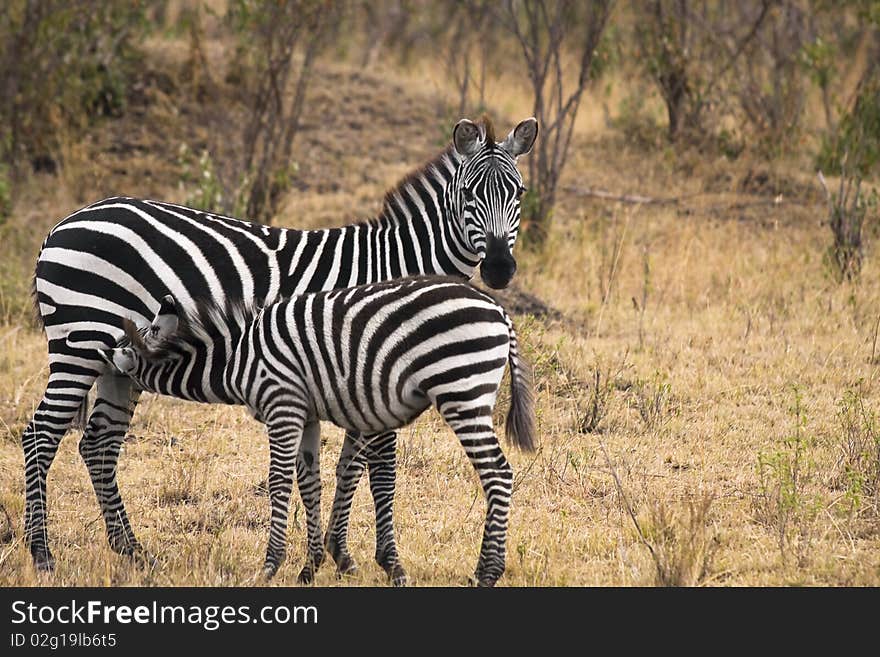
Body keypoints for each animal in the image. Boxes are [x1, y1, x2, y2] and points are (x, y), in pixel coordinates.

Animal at [99, 276, 532, 584]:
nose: (100, 353)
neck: (237, 356)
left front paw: (270, 565)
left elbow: (278, 481)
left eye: (123, 348)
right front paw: (309, 567)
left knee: (498, 474)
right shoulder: (305, 414)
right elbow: (309, 482)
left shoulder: (282, 403)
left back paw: (486, 573)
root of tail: (498, 309)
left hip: (462, 391)